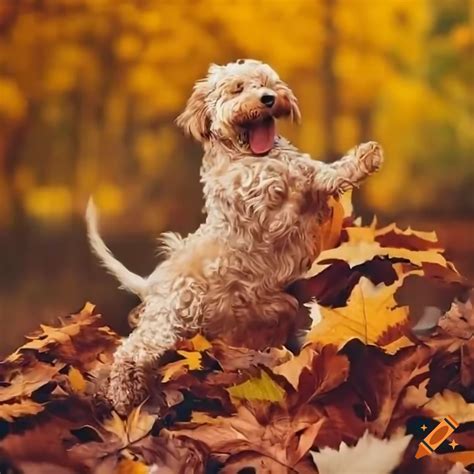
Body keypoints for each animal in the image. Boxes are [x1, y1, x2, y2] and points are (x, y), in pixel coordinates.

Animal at [86, 58, 382, 414]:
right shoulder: (265, 207)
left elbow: (317, 174)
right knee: (130, 351)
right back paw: (123, 396)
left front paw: (362, 160)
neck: (249, 155)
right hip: (168, 321)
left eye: (268, 83)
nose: (269, 98)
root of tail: (151, 283)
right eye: (237, 88)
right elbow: (291, 179)